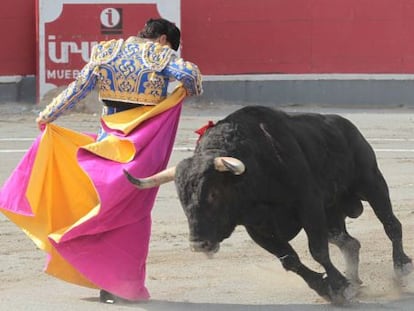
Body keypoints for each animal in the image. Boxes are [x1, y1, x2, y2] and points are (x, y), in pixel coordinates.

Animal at [124, 106, 412, 304]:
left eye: (214, 193)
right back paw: (355, 279)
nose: (198, 244)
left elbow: (317, 250)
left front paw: (339, 286)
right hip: (332, 216)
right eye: (182, 199)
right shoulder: (257, 228)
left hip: (371, 183)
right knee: (349, 242)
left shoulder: (309, 206)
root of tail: (346, 126)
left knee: (391, 224)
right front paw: (328, 288)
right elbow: (289, 260)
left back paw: (401, 267)